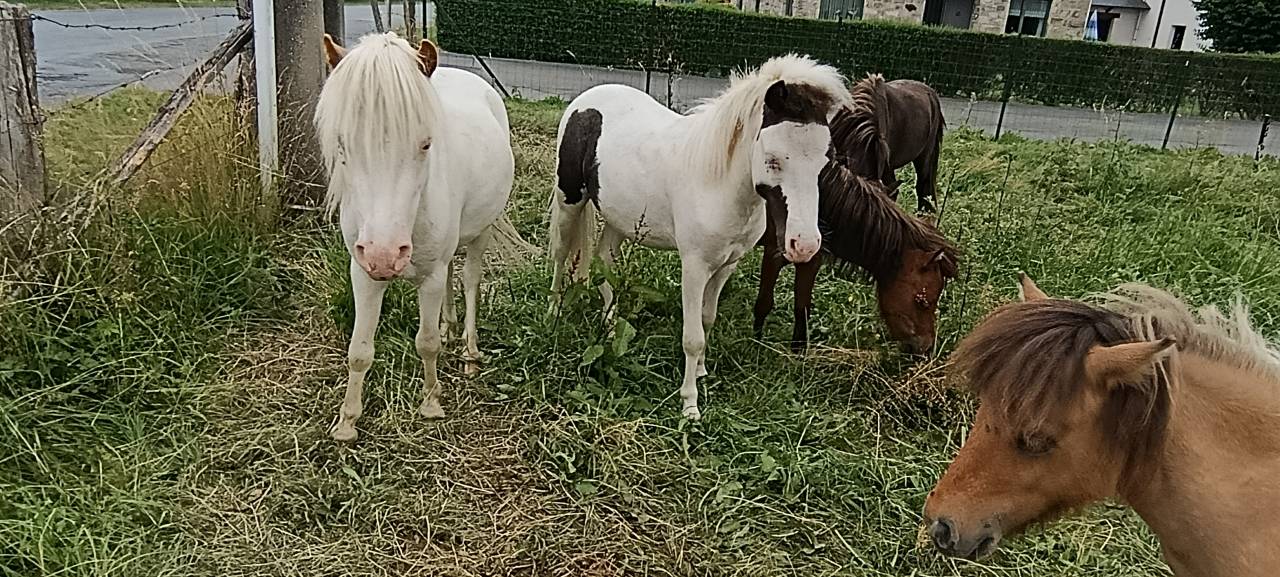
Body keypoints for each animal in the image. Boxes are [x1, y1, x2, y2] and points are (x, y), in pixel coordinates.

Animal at [314, 33, 515, 442]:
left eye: (425, 144)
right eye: (342, 145)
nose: (385, 255)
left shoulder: (430, 275)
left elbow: (426, 343)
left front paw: (431, 403)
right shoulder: (362, 273)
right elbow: (359, 349)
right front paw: (347, 421)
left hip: (481, 232)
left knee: (469, 280)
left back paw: (469, 351)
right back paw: (450, 327)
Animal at [548, 54, 850, 420]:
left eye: (826, 160)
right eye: (774, 159)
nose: (804, 245)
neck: (716, 182)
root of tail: (584, 101)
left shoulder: (725, 266)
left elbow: (707, 320)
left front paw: (703, 372)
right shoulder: (694, 267)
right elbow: (693, 336)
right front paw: (690, 406)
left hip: (619, 218)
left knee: (605, 260)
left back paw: (608, 326)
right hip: (569, 199)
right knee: (561, 253)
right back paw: (552, 313)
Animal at [752, 106, 959, 355]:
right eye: (923, 301)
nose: (926, 348)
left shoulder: (812, 261)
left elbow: (802, 307)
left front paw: (798, 352)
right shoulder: (773, 254)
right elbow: (764, 302)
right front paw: (755, 345)